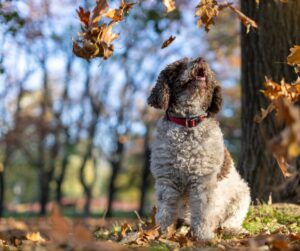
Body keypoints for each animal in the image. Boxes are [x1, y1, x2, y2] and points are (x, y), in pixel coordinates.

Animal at [148, 57, 251, 241]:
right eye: (181, 65)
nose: (201, 59)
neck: (188, 123)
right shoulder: (167, 179)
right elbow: (165, 211)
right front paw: (162, 233)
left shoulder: (202, 180)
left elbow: (203, 211)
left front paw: (203, 237)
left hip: (242, 195)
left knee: (229, 221)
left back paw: (234, 230)